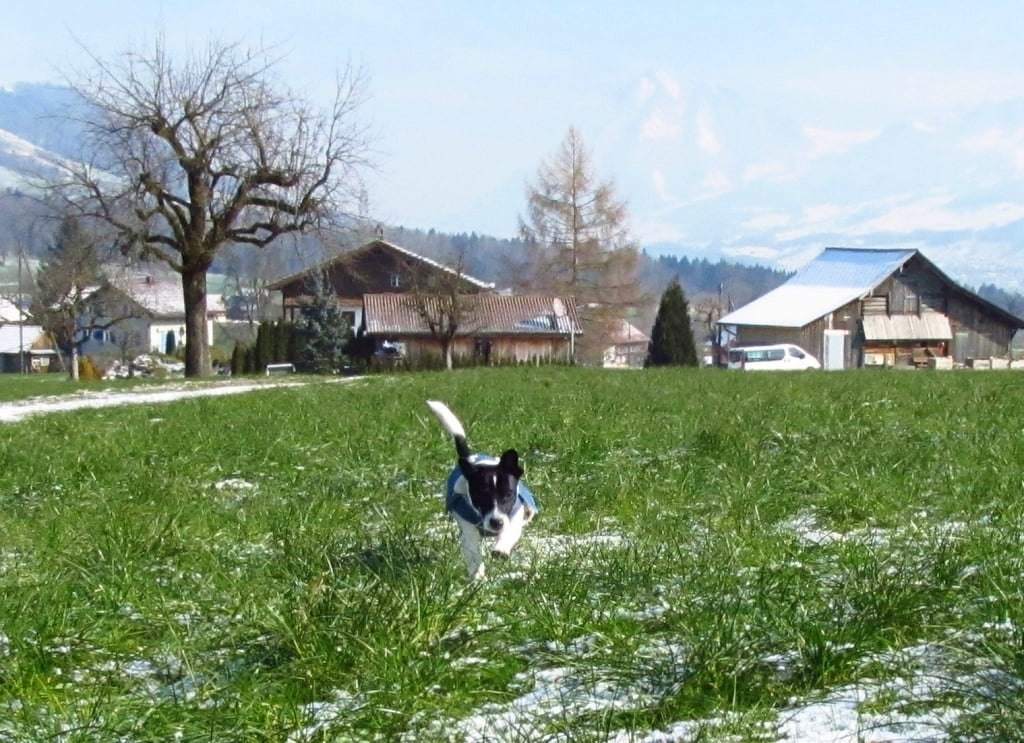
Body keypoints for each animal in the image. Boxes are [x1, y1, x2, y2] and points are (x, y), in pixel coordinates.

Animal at [427, 400, 538, 580]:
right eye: (480, 495)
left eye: (508, 495)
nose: (496, 523)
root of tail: (472, 459)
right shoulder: (468, 530)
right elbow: (472, 552)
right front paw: (477, 576)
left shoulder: (515, 516)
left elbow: (510, 531)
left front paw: (501, 549)